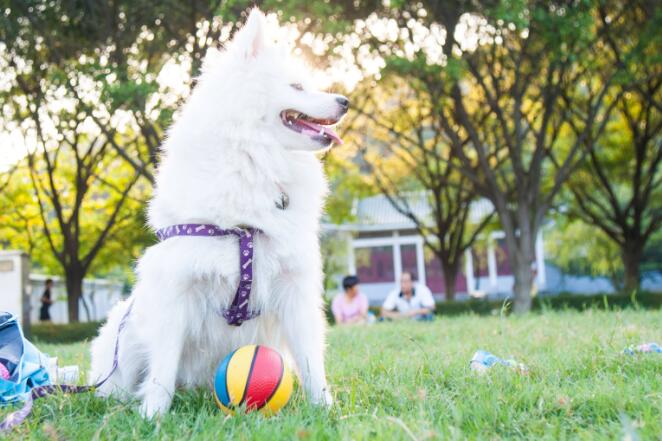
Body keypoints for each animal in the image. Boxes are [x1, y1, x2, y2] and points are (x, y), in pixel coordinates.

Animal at [89, 8, 348, 418]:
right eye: (297, 86)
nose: (346, 101)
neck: (254, 159)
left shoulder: (295, 288)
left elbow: (311, 362)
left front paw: (324, 409)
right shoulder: (178, 288)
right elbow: (162, 368)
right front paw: (153, 416)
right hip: (124, 337)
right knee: (117, 383)